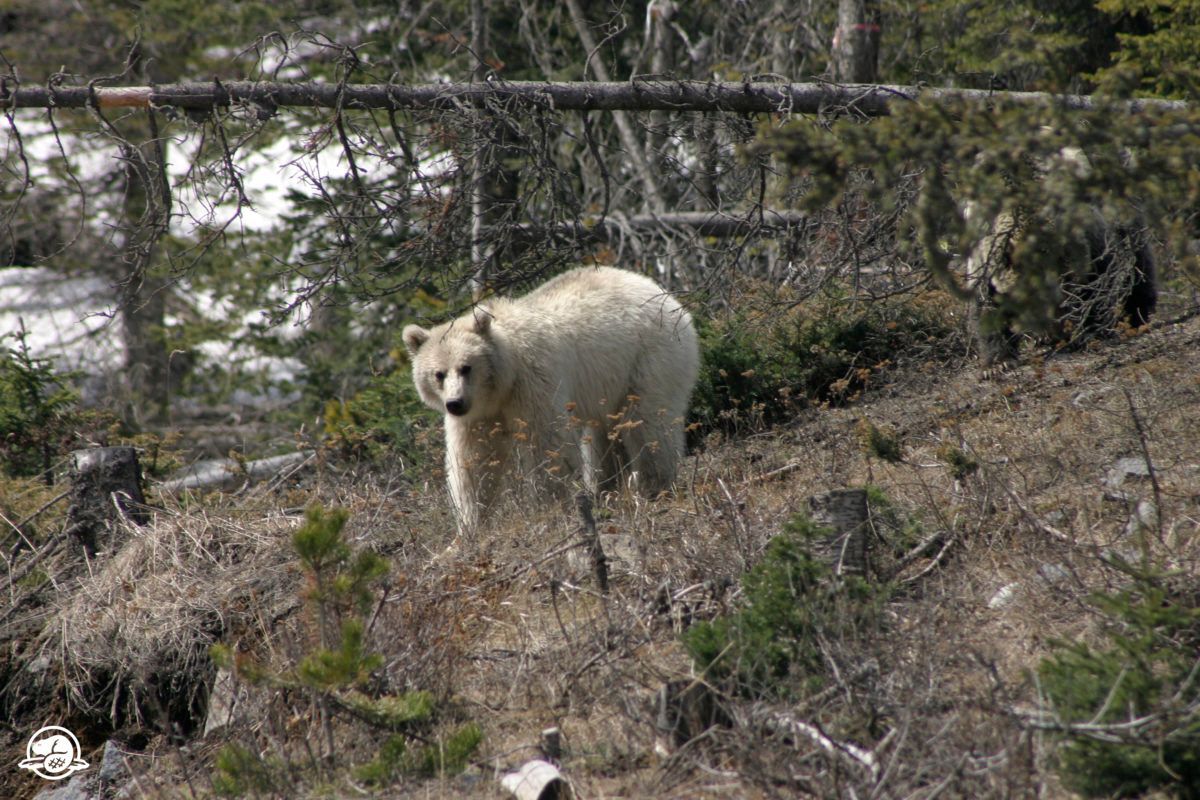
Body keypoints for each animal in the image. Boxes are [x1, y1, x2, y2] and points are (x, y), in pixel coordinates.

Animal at [403, 266, 700, 531]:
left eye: (466, 367)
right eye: (438, 374)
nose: (455, 403)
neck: (503, 382)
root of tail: (668, 297)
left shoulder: (534, 382)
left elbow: (546, 443)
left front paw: (549, 510)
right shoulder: (479, 415)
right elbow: (473, 461)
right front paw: (468, 529)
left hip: (649, 359)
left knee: (647, 425)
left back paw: (653, 488)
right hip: (607, 386)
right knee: (604, 440)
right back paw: (604, 490)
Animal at [963, 145, 1157, 366]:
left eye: (1063, 294)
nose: (1057, 331)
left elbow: (1099, 279)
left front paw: (1089, 331)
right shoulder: (984, 250)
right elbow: (986, 302)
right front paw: (999, 361)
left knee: (1138, 260)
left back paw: (1137, 315)